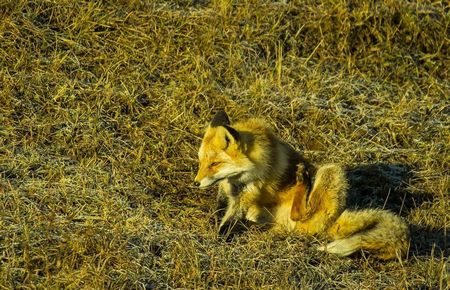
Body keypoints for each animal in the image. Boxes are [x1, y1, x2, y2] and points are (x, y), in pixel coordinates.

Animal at [192, 110, 410, 260]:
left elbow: (229, 221)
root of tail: (332, 222)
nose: (196, 183)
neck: (238, 178)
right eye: (201, 162)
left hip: (331, 172)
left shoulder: (249, 191)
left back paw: (302, 180)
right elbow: (220, 207)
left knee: (300, 212)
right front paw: (213, 221)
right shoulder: (227, 188)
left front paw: (218, 238)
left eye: (214, 164)